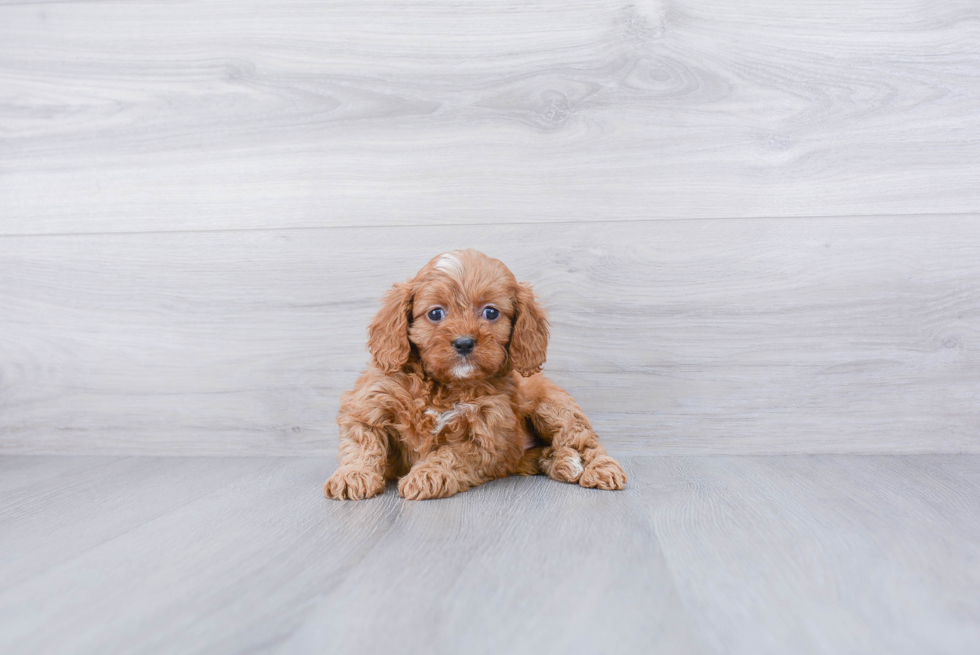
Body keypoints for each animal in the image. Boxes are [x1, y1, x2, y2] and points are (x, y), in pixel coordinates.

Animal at [324, 249, 628, 500]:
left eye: (491, 312)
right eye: (435, 313)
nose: (464, 343)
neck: (444, 385)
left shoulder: (485, 434)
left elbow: (449, 454)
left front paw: (427, 474)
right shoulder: (370, 403)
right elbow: (363, 441)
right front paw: (353, 475)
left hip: (554, 407)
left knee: (583, 440)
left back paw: (598, 468)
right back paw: (562, 462)